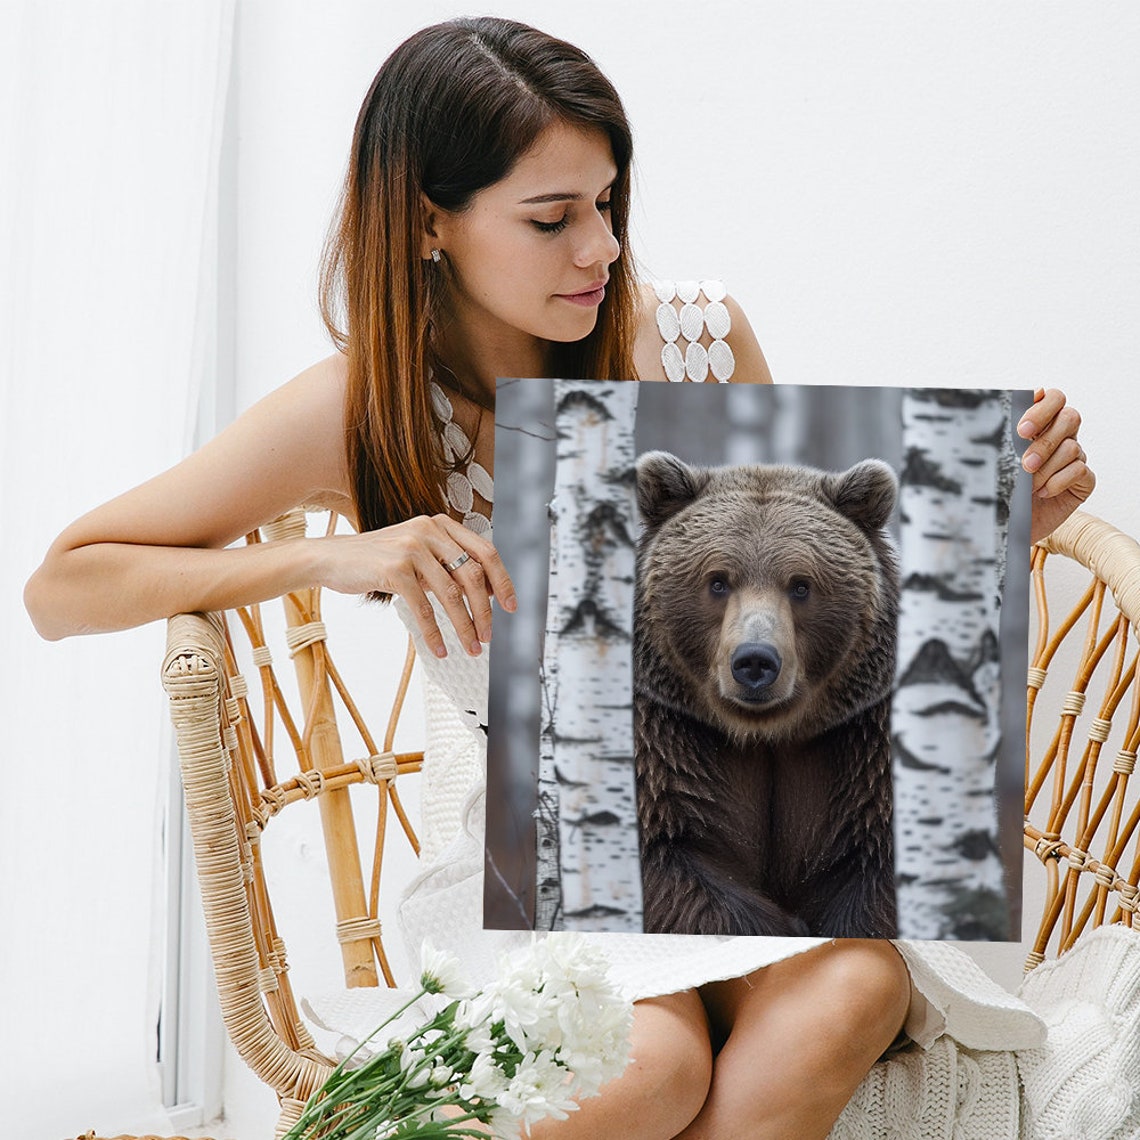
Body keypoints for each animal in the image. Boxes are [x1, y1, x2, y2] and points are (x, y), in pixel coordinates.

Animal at [634, 450, 900, 939]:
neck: (765, 734)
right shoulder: (668, 738)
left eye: (801, 584)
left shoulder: (861, 744)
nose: (755, 661)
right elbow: (674, 867)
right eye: (718, 581)